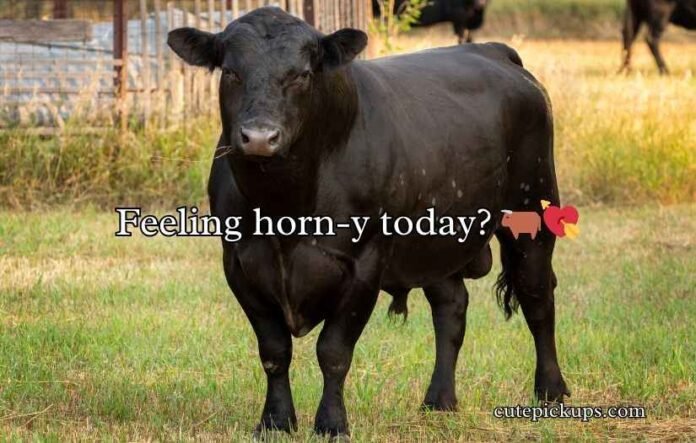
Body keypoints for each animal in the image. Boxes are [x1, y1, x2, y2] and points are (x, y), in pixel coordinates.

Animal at [167, 7, 569, 437]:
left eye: (302, 74)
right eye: (230, 72)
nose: (259, 137)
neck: (284, 209)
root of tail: (494, 51)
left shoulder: (364, 265)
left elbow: (333, 351)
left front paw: (331, 423)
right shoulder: (240, 264)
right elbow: (274, 350)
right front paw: (275, 422)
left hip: (533, 213)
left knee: (537, 297)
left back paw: (551, 390)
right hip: (434, 243)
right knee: (451, 309)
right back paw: (439, 400)